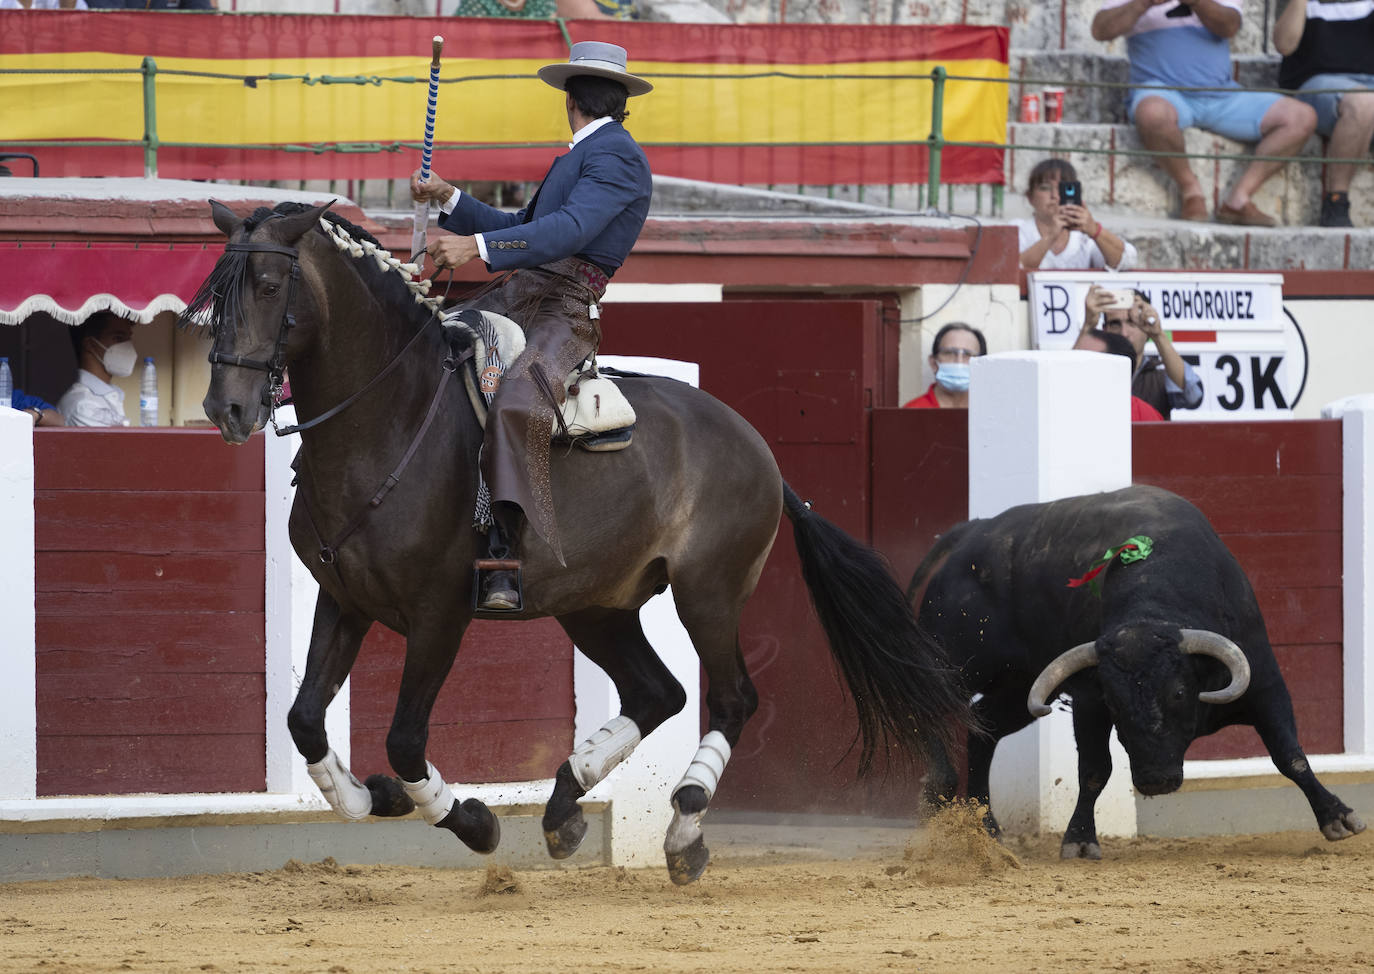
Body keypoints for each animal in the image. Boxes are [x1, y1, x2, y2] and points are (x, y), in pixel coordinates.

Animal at [182, 197, 972, 879]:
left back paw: (683, 829)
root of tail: (757, 446)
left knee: (732, 699)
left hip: (708, 593)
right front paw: (363, 796)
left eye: (270, 284)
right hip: (595, 605)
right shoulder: (343, 598)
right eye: (215, 296)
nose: (226, 408)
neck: (390, 417)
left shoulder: (440, 613)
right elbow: (304, 718)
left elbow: (404, 737)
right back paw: (564, 807)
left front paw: (472, 821)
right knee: (658, 692)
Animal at [906, 483, 1368, 857]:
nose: (1155, 781)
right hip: (961, 661)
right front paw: (1079, 840)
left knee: (982, 729)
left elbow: (1290, 755)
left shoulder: (1265, 684)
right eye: (1115, 701)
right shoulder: (1089, 701)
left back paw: (985, 827)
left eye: (1178, 693)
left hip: (1019, 687)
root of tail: (972, 532)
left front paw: (1338, 817)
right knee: (927, 702)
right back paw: (940, 788)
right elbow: (1095, 769)